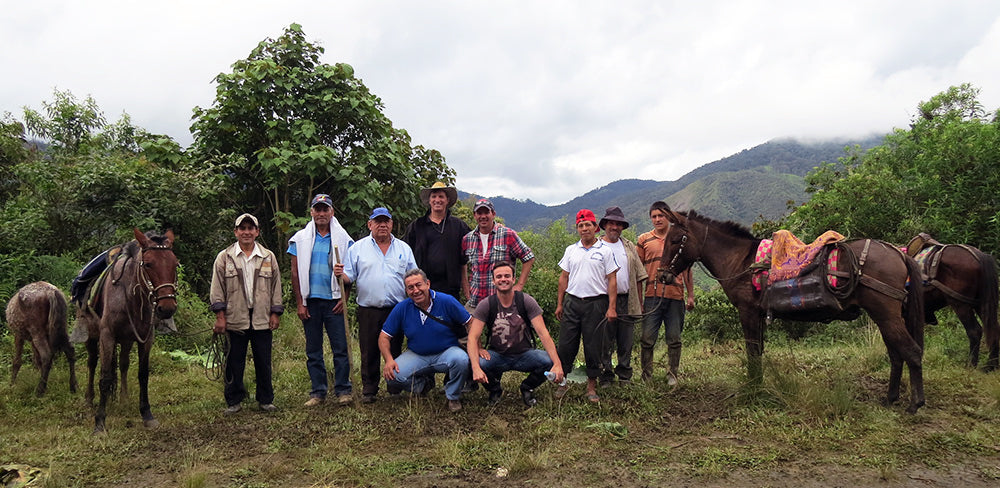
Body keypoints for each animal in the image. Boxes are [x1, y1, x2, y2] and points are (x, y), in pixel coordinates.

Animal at [656, 210, 928, 416]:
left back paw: (915, 403)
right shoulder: (758, 315)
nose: (662, 276)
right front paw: (758, 385)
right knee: (896, 355)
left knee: (911, 352)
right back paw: (891, 397)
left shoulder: (748, 312)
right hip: (884, 316)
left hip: (886, 315)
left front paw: (753, 389)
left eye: (675, 240)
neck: (742, 262)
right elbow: (758, 352)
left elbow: (752, 353)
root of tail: (898, 253)